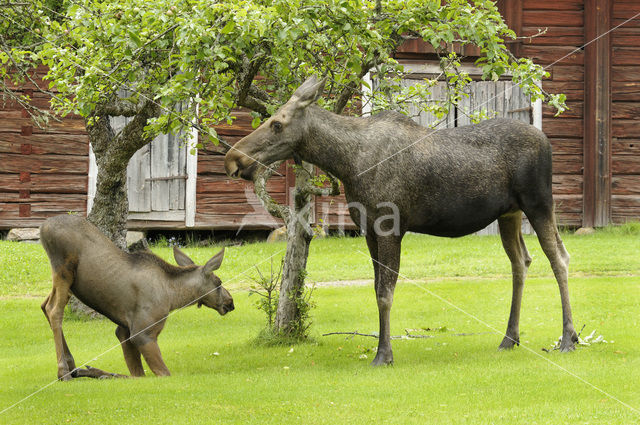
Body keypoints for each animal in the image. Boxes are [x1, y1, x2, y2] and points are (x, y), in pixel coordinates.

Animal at [38, 215, 232, 378]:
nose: (231, 302)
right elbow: (162, 373)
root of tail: (43, 227)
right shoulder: (142, 332)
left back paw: (72, 365)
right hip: (63, 270)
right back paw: (64, 371)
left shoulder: (123, 331)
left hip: (66, 282)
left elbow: (135, 374)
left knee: (44, 305)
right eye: (219, 282)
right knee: (54, 310)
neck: (174, 296)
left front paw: (96, 372)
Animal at [226, 76, 580, 364]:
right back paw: (510, 338)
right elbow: (376, 289)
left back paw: (568, 338)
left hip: (539, 202)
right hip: (509, 213)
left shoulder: (389, 225)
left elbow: (386, 292)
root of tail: (547, 142)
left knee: (559, 258)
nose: (233, 158)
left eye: (276, 123)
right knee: (521, 261)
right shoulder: (367, 228)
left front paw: (384, 354)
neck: (346, 163)